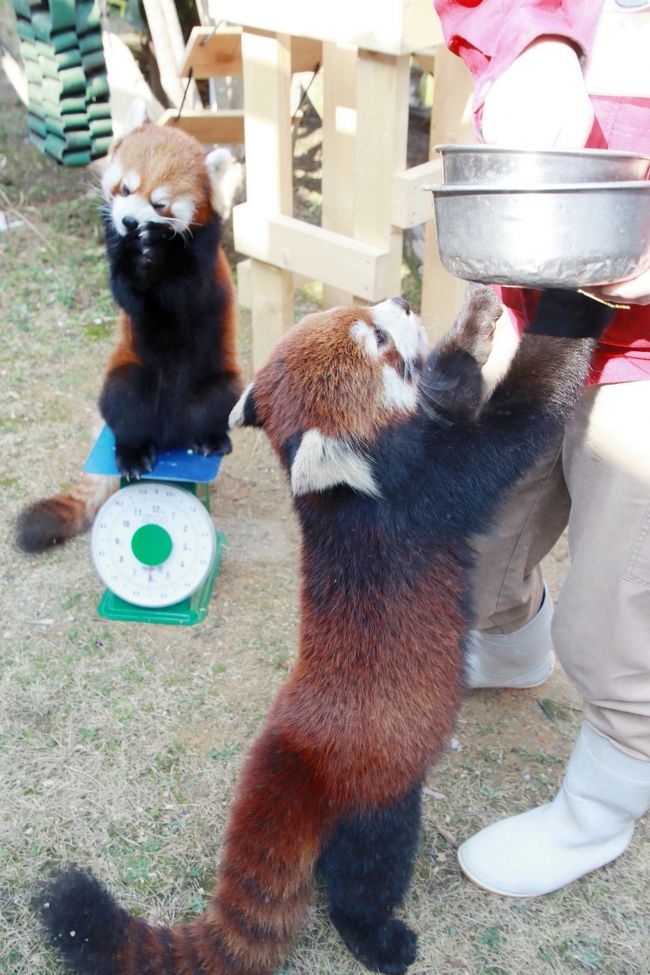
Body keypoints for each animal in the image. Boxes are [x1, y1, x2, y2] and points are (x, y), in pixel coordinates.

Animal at [15, 102, 243, 552]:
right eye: (124, 189)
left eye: (159, 204)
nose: (131, 224)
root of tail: (170, 429)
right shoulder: (116, 251)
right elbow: (129, 293)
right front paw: (136, 261)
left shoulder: (203, 257)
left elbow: (185, 293)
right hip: (129, 372)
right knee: (125, 402)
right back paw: (134, 453)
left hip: (219, 379)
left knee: (217, 402)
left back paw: (209, 438)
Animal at [39, 288, 612, 975]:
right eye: (378, 341)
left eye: (367, 313)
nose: (401, 300)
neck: (346, 492)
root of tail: (296, 756)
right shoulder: (431, 491)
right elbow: (523, 414)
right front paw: (569, 308)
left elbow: (460, 392)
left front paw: (472, 333)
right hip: (378, 798)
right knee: (368, 873)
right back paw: (380, 939)